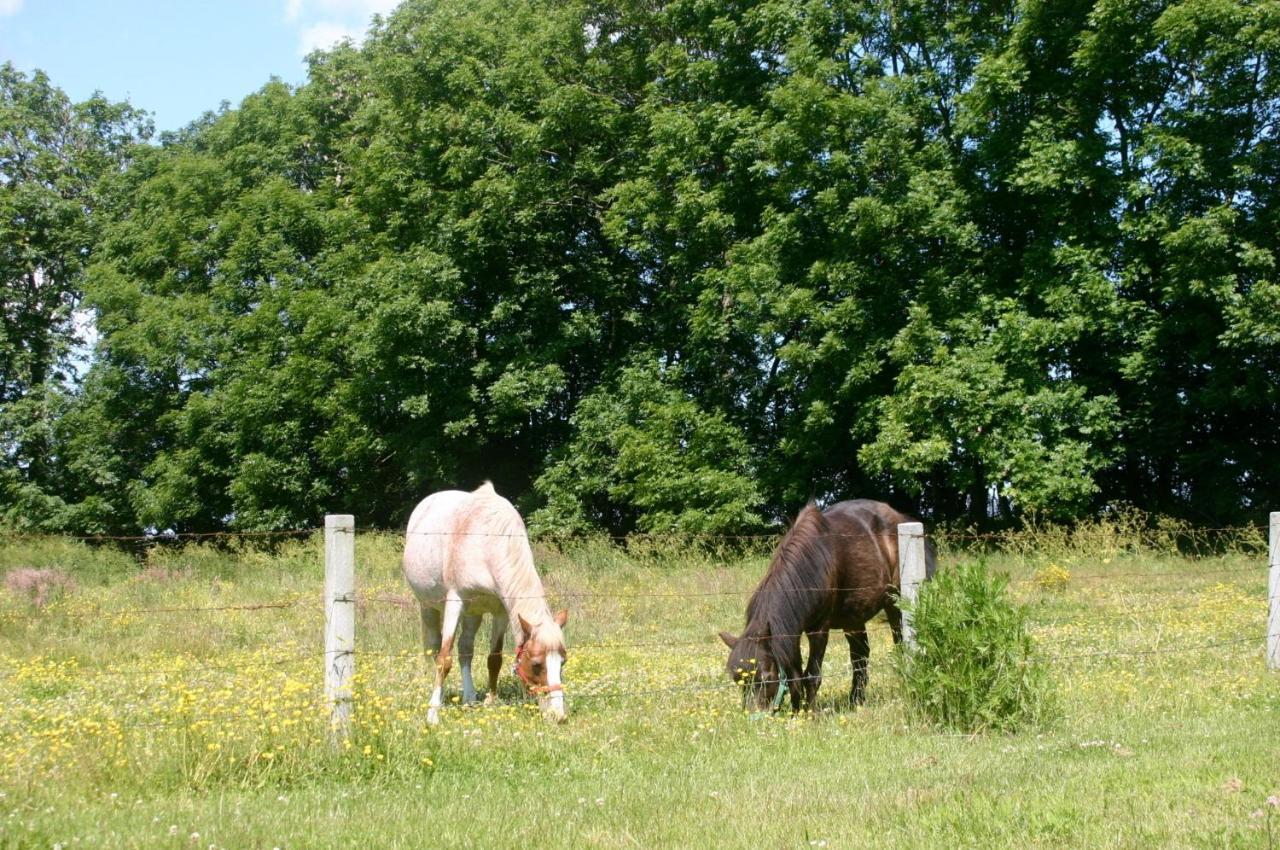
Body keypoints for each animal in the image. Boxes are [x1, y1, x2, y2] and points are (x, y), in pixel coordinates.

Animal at [401, 483, 568, 721]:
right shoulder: (455, 601)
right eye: (536, 664)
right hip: (428, 606)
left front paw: (490, 702)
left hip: (474, 613)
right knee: (434, 648)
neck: (487, 544)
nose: (558, 716)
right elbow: (444, 659)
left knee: (465, 649)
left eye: (563, 661)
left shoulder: (501, 611)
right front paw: (433, 713)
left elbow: (494, 658)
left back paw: (469, 698)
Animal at [721, 499, 942, 711]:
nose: (753, 715)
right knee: (860, 658)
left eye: (766, 676)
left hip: (895, 604)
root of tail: (901, 519)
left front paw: (811, 714)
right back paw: (856, 701)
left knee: (899, 644)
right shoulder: (793, 631)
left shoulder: (819, 630)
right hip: (854, 618)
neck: (811, 565)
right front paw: (796, 712)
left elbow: (812, 675)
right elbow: (795, 674)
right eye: (738, 681)